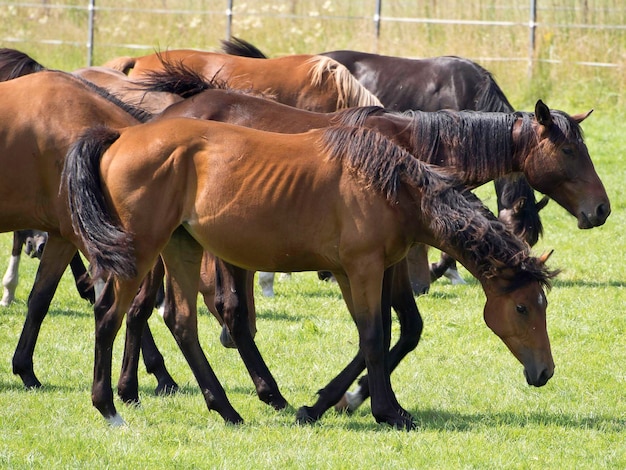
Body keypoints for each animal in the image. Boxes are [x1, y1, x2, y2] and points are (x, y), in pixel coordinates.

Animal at [66, 118, 560, 430]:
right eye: (522, 307)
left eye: (543, 306)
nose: (545, 372)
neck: (390, 184)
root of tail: (119, 136)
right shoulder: (362, 269)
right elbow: (375, 338)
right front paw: (388, 412)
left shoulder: (362, 272)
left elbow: (376, 337)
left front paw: (322, 404)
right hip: (141, 252)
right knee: (109, 317)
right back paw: (109, 408)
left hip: (181, 247)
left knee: (180, 321)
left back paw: (227, 409)